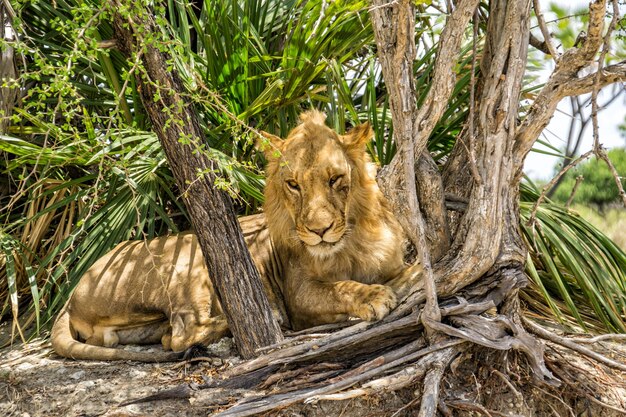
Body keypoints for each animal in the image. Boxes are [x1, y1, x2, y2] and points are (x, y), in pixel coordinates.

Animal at [51, 111, 416, 360]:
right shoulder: (298, 293)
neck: (352, 241)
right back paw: (261, 319)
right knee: (180, 335)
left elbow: (403, 270)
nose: (319, 231)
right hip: (189, 261)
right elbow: (340, 288)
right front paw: (374, 295)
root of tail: (71, 294)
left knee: (159, 336)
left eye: (335, 179)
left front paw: (406, 278)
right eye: (293, 185)